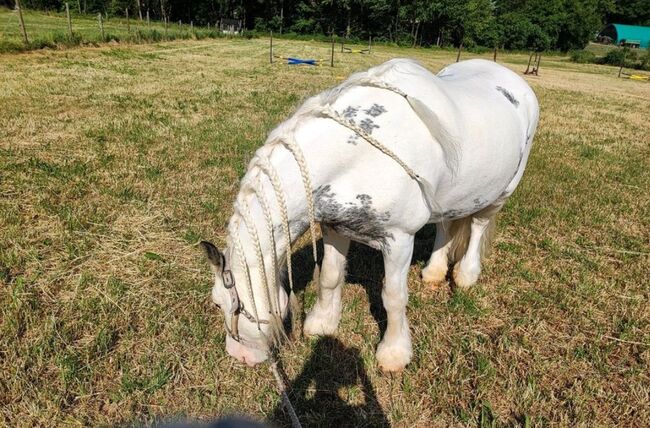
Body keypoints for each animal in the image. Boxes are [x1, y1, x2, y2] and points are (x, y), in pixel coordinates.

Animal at [201, 57, 536, 372]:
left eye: (218, 304)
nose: (239, 356)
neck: (357, 155)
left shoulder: (399, 240)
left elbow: (393, 297)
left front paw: (394, 353)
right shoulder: (335, 227)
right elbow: (330, 275)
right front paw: (322, 323)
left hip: (500, 193)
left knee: (478, 226)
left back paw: (466, 275)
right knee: (444, 227)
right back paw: (434, 272)